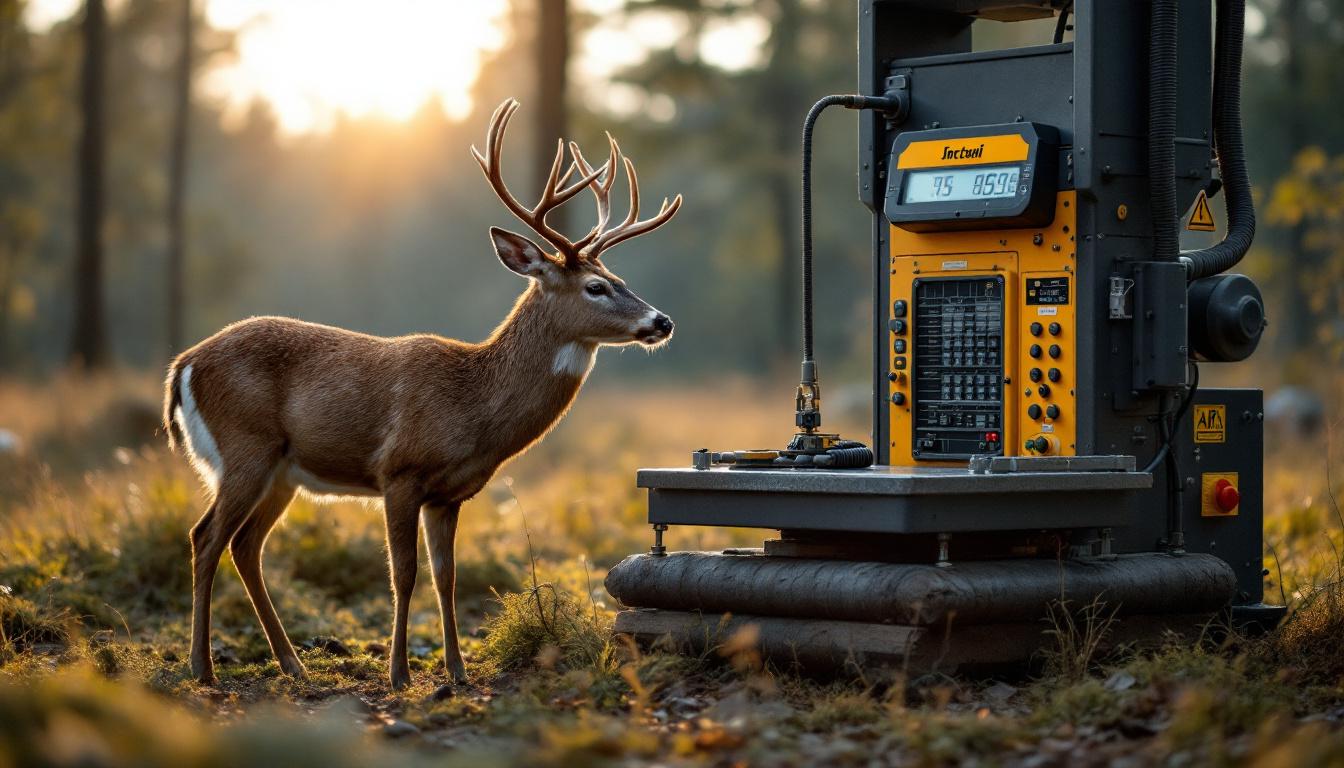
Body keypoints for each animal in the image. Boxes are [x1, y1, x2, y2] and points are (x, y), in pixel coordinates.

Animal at [162, 98, 681, 689]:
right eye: (595, 286)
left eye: (619, 278)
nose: (661, 321)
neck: (472, 409)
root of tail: (183, 365)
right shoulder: (399, 471)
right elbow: (404, 574)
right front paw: (399, 674)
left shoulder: (450, 494)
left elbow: (446, 577)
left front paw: (457, 670)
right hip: (245, 448)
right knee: (206, 537)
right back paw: (202, 667)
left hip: (281, 472)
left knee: (246, 545)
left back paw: (292, 663)